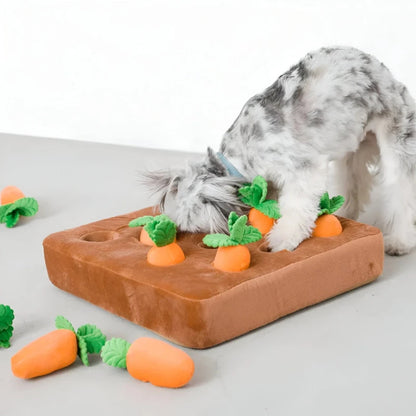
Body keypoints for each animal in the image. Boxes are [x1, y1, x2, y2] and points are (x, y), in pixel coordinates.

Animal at [144, 44, 416, 254]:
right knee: (353, 182)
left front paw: (282, 238)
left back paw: (399, 241)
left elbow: (296, 209)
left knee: (402, 194)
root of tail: (388, 76)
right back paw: (346, 211)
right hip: (351, 150)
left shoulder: (303, 170)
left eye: (193, 224)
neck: (244, 151)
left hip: (397, 144)